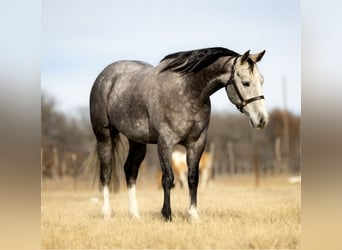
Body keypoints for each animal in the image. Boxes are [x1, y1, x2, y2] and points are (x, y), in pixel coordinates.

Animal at [89, 47, 268, 221]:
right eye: (245, 83)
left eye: (262, 81)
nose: (262, 119)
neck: (188, 90)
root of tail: (104, 76)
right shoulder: (166, 143)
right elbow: (168, 178)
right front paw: (167, 214)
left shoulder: (197, 143)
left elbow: (193, 178)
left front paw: (194, 215)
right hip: (104, 137)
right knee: (106, 173)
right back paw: (107, 213)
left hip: (137, 141)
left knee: (130, 171)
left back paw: (135, 214)